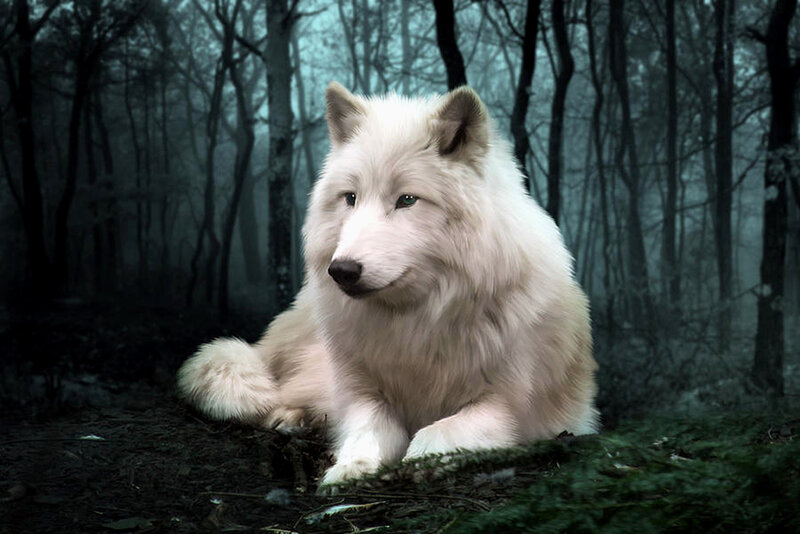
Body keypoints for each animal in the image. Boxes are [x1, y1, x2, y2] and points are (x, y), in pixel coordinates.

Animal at [177, 82, 598, 489]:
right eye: (351, 197)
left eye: (407, 199)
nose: (341, 270)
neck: (417, 322)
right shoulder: (360, 393)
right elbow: (369, 427)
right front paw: (352, 467)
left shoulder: (513, 409)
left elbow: (440, 430)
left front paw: (421, 460)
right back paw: (290, 417)